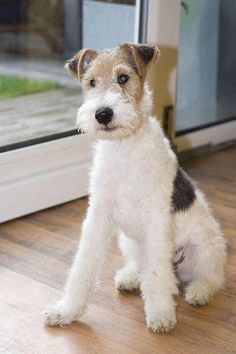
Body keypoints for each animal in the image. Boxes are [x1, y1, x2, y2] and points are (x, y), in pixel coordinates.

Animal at [43, 43, 227, 332]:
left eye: (123, 77)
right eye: (91, 82)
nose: (103, 114)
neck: (123, 148)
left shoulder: (156, 219)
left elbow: (157, 274)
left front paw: (161, 315)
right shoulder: (98, 215)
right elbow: (83, 265)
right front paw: (66, 311)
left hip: (206, 249)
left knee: (211, 278)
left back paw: (198, 293)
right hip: (129, 240)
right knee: (142, 267)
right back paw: (130, 278)